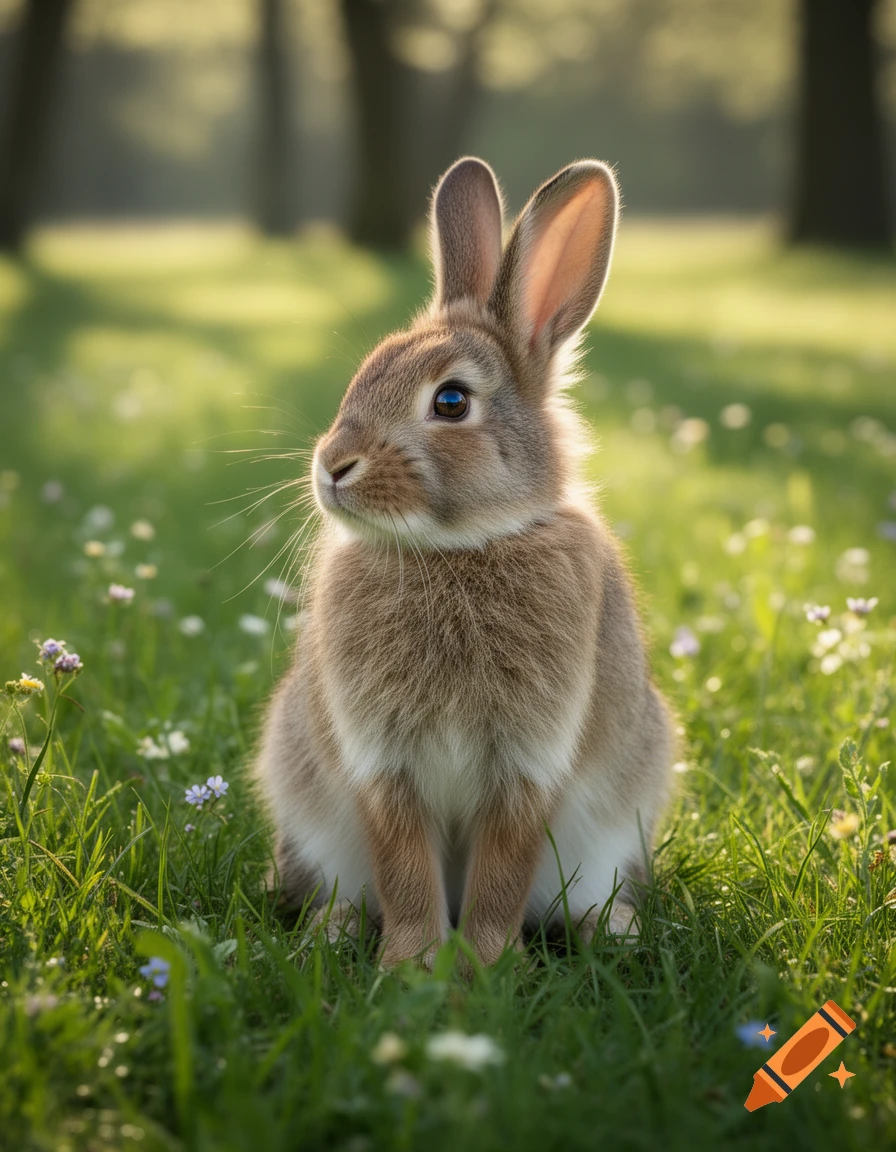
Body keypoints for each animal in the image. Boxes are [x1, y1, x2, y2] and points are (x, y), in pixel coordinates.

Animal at [252, 156, 674, 969]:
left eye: (450, 402)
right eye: (364, 372)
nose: (331, 466)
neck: (459, 548)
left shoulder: (528, 764)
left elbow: (502, 873)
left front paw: (483, 963)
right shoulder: (382, 764)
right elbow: (404, 871)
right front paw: (414, 965)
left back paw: (616, 933)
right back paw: (328, 936)